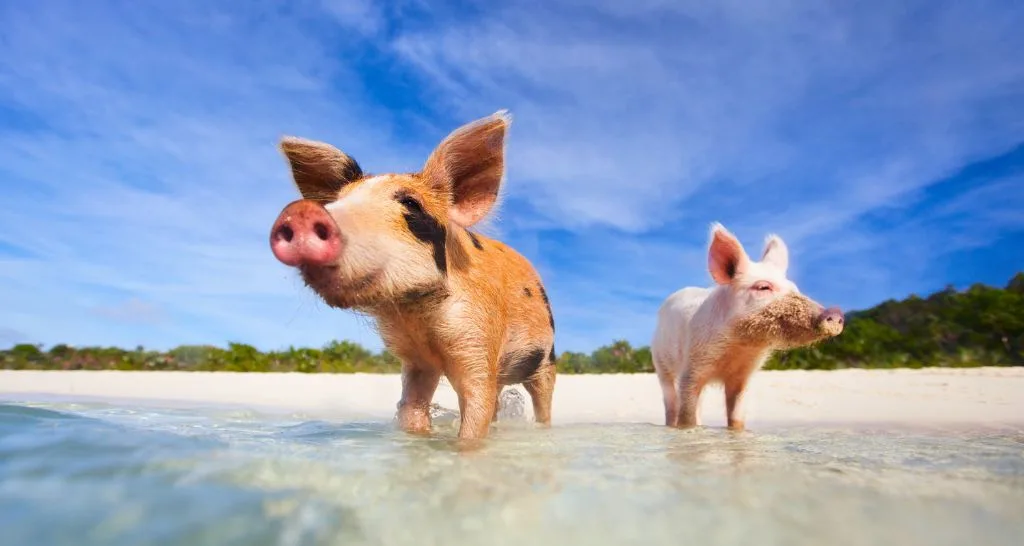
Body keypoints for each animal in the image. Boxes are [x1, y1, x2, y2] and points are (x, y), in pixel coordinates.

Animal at [268, 111, 556, 441]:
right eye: (334, 202)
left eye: (411, 204)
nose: (301, 212)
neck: (418, 317)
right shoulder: (416, 361)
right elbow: (412, 409)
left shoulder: (478, 339)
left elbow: (475, 413)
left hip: (546, 359)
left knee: (542, 401)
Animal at [651, 223, 844, 431]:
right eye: (763, 287)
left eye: (795, 289)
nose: (835, 313)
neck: (739, 347)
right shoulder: (692, 366)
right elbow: (686, 415)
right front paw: (687, 430)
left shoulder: (743, 376)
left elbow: (737, 416)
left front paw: (735, 432)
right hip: (660, 362)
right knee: (671, 403)